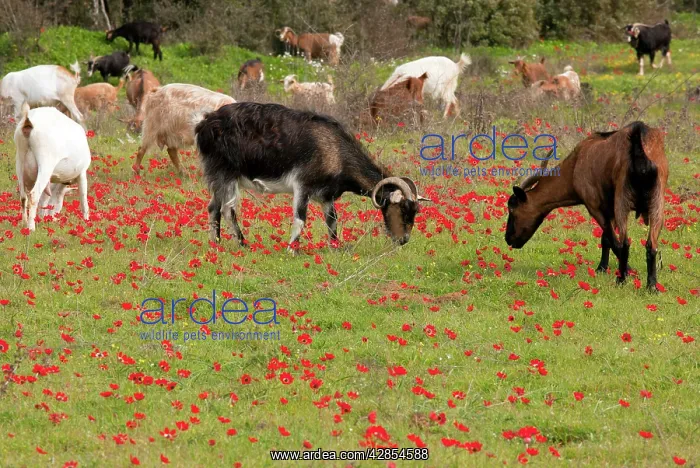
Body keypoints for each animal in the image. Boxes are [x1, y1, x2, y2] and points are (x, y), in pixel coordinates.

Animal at [195, 102, 429, 251]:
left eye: (416, 210)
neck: (334, 150)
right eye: (403, 209)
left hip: (219, 176)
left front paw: (336, 247)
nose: (403, 240)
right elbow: (300, 219)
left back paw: (216, 244)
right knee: (227, 209)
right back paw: (242, 244)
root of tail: (203, 124)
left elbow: (332, 220)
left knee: (213, 207)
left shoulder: (326, 196)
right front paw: (292, 250)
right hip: (225, 173)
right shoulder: (303, 185)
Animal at [505, 121, 668, 292]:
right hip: (657, 203)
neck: (575, 164)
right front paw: (603, 268)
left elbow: (611, 240)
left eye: (512, 209)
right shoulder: (609, 210)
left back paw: (621, 279)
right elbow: (606, 239)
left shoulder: (595, 206)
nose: (508, 238)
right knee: (651, 245)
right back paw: (652, 286)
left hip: (622, 201)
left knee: (625, 243)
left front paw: (626, 271)